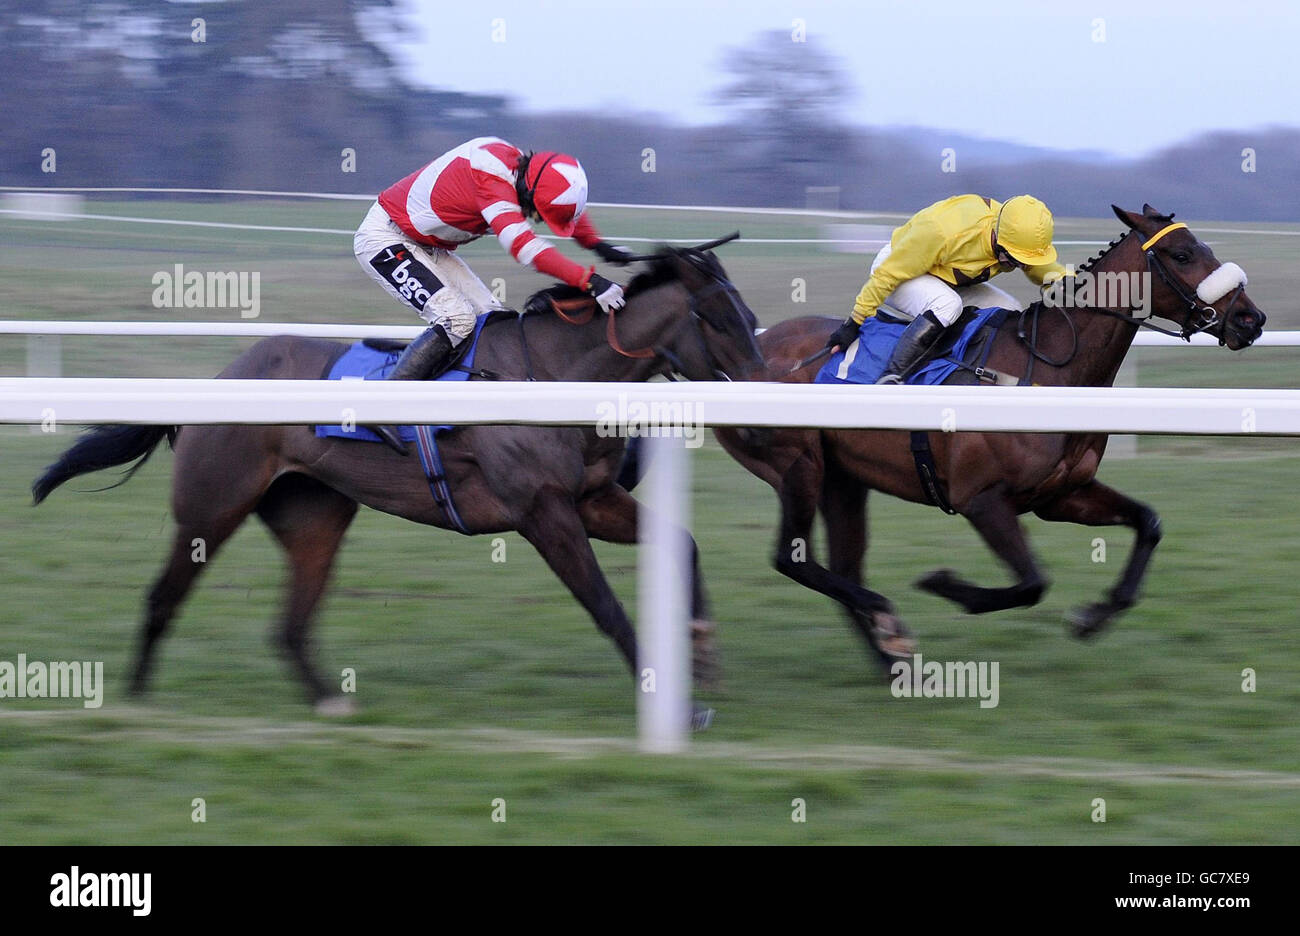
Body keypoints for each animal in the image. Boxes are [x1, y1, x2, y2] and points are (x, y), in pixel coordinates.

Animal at [32, 243, 759, 717]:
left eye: (751, 320)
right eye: (723, 320)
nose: (760, 396)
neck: (554, 374)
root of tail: (217, 380)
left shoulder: (593, 499)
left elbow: (683, 545)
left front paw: (703, 654)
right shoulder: (542, 511)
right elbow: (605, 605)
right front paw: (675, 700)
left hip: (315, 513)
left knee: (289, 624)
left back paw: (328, 701)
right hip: (210, 508)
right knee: (163, 598)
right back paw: (135, 708)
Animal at [717, 208, 1263, 670]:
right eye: (1183, 254)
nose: (1250, 319)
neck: (1045, 371)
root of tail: (741, 355)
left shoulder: (1062, 495)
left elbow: (1148, 523)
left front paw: (1094, 615)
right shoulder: (982, 500)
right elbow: (1032, 582)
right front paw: (946, 585)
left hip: (843, 479)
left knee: (844, 568)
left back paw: (890, 655)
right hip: (799, 467)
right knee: (792, 560)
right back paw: (889, 626)